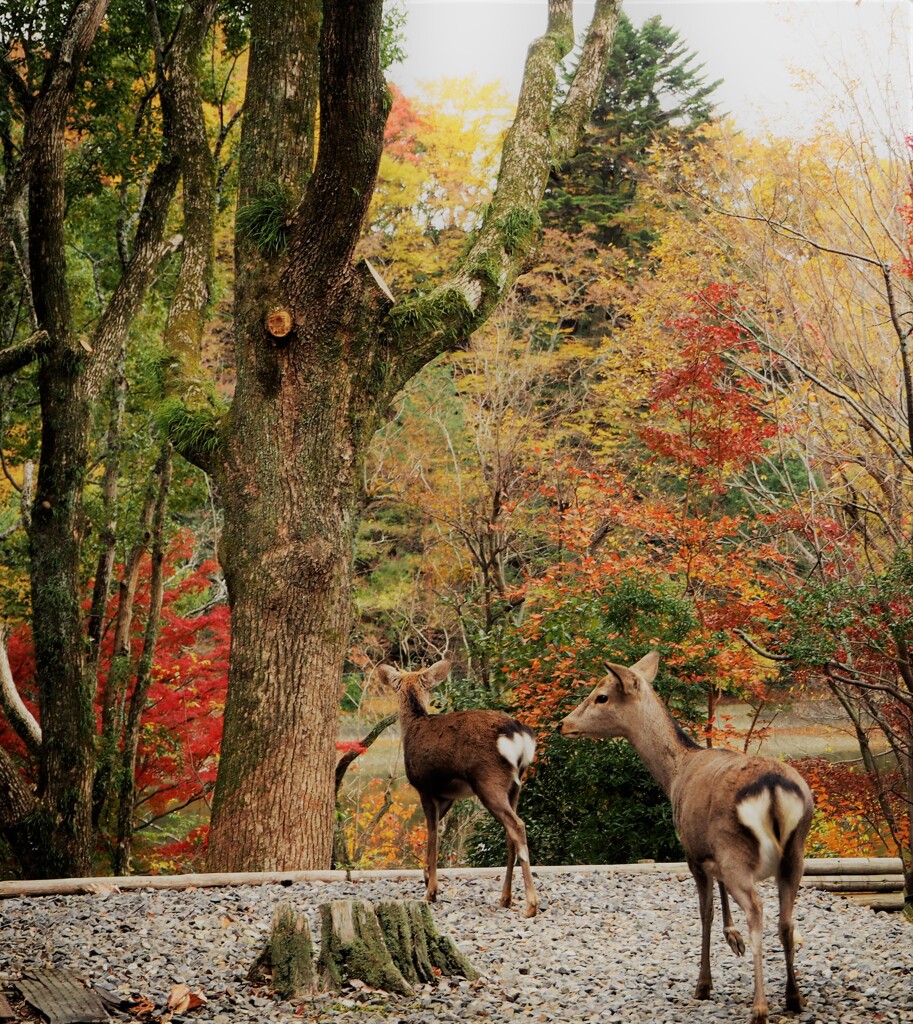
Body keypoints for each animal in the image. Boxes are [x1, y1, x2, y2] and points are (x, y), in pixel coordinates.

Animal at [374, 659, 540, 917]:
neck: (413, 724)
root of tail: (518, 735)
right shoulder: (446, 796)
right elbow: (434, 833)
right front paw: (426, 877)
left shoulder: (425, 787)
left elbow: (433, 835)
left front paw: (430, 892)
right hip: (516, 785)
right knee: (510, 832)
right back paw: (505, 898)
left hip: (488, 780)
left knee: (517, 826)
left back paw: (531, 904)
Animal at [556, 655, 814, 1024]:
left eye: (601, 696)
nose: (562, 724)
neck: (675, 774)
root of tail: (775, 789)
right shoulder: (710, 848)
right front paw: (732, 938)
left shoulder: (691, 850)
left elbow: (704, 912)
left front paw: (703, 984)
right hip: (795, 852)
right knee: (787, 921)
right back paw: (794, 997)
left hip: (738, 849)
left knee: (757, 910)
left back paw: (760, 1007)